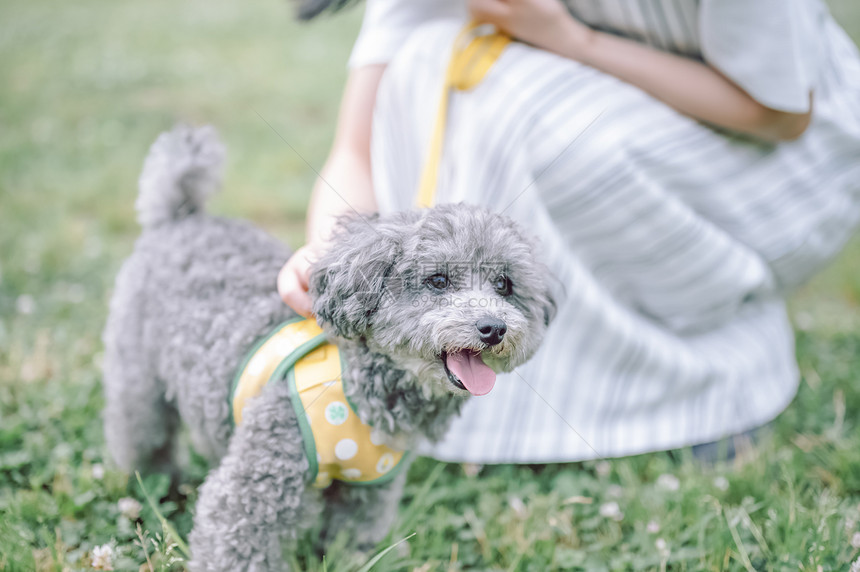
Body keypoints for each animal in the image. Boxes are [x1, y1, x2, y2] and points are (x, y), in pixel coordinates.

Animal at [101, 126, 556, 572]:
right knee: (144, 439)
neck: (359, 393)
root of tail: (182, 216)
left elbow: (348, 548)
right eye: (439, 280)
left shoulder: (368, 498)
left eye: (504, 285)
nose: (493, 328)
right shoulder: (253, 492)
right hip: (136, 381)